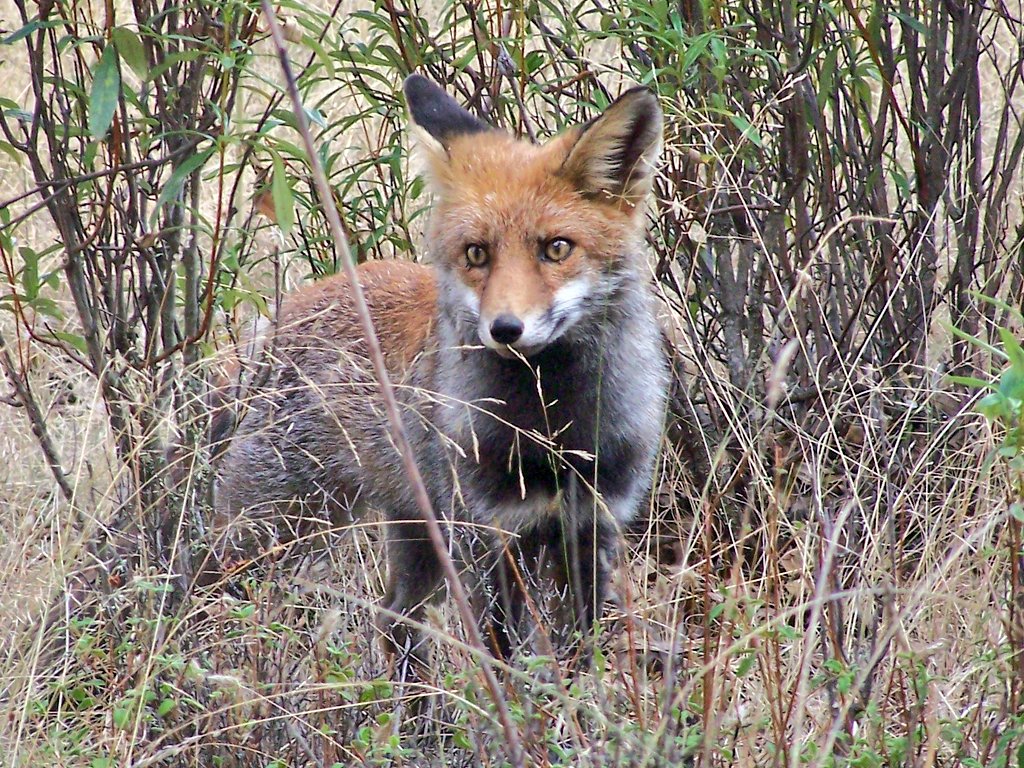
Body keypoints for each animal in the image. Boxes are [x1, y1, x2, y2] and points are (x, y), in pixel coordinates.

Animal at [209, 75, 671, 671]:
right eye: (477, 254)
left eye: (557, 248)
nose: (505, 328)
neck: (551, 431)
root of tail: (283, 312)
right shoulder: (487, 540)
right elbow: (508, 664)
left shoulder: (593, 531)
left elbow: (578, 661)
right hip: (268, 524)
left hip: (412, 533)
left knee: (394, 620)